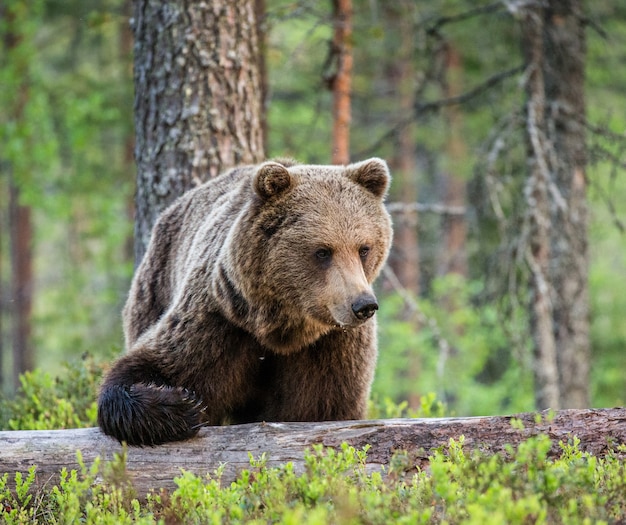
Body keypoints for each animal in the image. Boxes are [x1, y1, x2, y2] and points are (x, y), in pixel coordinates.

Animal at [97, 158, 390, 444]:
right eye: (322, 251)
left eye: (364, 248)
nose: (363, 305)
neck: (281, 329)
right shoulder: (220, 321)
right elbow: (155, 364)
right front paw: (180, 405)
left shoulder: (329, 347)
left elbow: (320, 408)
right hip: (155, 288)